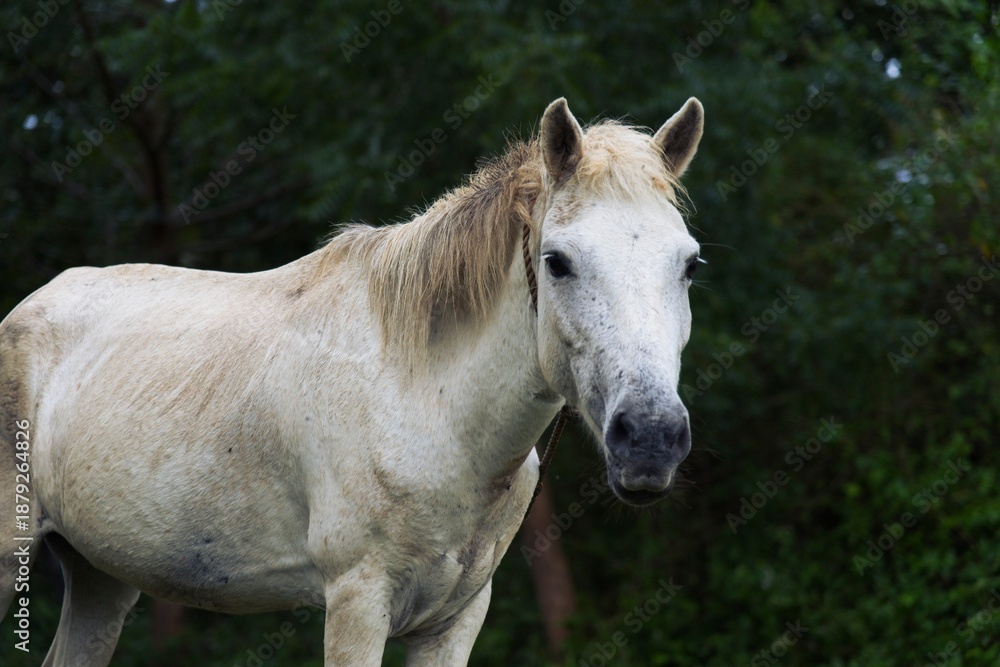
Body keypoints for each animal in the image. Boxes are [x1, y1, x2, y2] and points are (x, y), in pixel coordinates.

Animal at [0, 96, 704, 666]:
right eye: (558, 262)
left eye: (690, 265)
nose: (649, 438)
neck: (424, 401)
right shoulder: (357, 603)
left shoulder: (454, 621)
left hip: (101, 579)